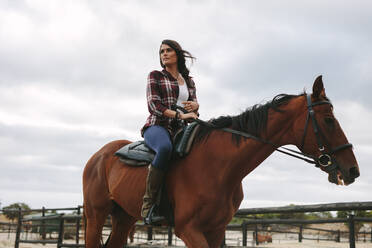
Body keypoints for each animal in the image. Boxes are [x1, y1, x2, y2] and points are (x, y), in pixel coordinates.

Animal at [83, 76, 358, 247]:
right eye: (329, 120)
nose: (352, 169)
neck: (219, 168)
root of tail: (98, 156)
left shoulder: (215, 230)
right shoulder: (189, 229)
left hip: (124, 218)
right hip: (95, 216)